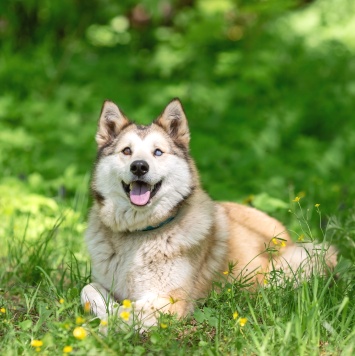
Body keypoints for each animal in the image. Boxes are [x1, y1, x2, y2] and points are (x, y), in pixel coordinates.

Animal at [81, 98, 340, 330]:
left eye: (158, 152)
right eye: (126, 151)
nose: (139, 167)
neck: (137, 234)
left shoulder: (173, 302)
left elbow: (125, 313)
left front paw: (101, 327)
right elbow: (88, 290)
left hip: (294, 266)